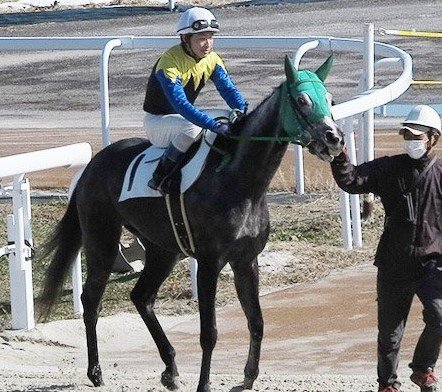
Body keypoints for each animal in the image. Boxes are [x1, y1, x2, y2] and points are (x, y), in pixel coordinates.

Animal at [38, 56, 346, 392]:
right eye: (302, 101)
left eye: (330, 100)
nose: (334, 138)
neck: (238, 181)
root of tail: (92, 166)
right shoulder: (210, 262)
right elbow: (209, 333)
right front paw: (204, 384)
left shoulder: (246, 260)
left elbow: (257, 321)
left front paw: (248, 377)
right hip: (102, 240)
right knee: (92, 299)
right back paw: (95, 371)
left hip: (162, 250)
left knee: (141, 297)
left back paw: (170, 369)